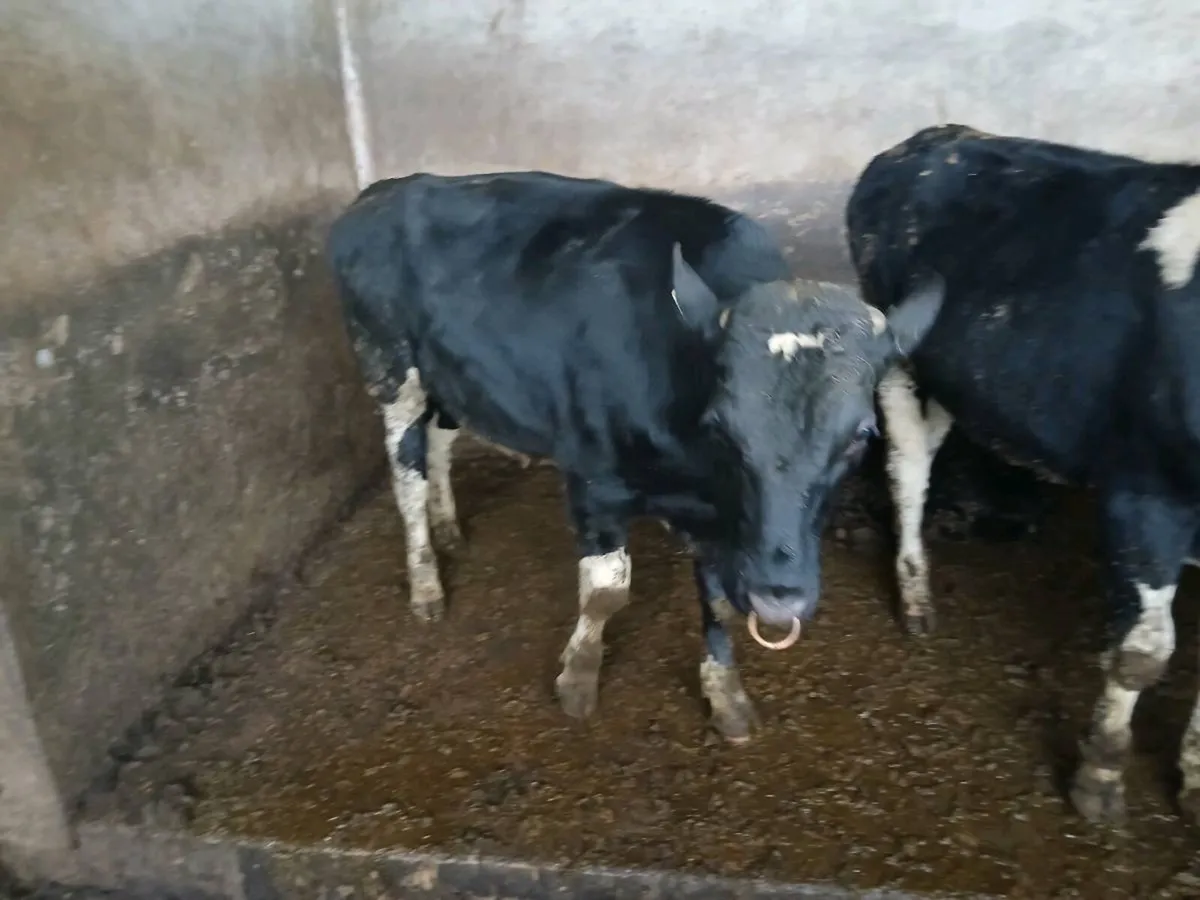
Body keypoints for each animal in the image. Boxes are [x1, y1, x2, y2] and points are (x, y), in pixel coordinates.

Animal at [326, 170, 942, 741]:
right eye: (722, 426)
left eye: (861, 435)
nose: (779, 593)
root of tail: (384, 190)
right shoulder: (591, 481)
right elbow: (607, 591)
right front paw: (578, 678)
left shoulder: (723, 522)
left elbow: (718, 603)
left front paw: (726, 695)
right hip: (391, 370)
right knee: (406, 473)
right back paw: (425, 580)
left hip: (450, 381)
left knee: (438, 444)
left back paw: (447, 525)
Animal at [845, 123, 1200, 826]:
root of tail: (934, 136)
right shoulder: (1145, 489)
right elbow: (1142, 654)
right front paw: (1099, 778)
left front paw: (1196, 777)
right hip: (898, 353)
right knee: (909, 467)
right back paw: (915, 596)